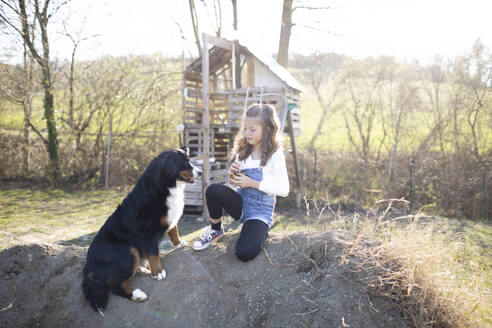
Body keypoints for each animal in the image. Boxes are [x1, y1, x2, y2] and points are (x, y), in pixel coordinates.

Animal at [81, 149, 201, 316]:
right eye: (185, 163)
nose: (201, 172)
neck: (164, 187)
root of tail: (89, 264)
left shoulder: (170, 218)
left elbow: (174, 230)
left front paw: (178, 243)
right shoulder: (148, 230)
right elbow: (153, 253)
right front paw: (158, 272)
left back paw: (142, 269)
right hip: (129, 250)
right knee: (113, 284)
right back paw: (136, 294)